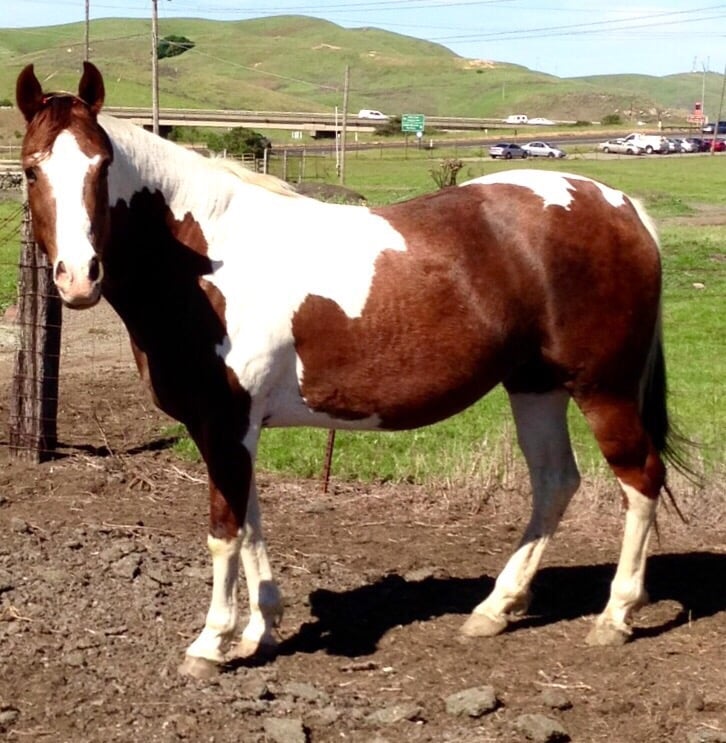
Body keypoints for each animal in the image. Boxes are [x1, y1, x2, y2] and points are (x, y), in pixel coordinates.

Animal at [16, 62, 687, 679]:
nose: (79, 277)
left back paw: (615, 616)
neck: (207, 262)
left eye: (102, 166)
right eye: (30, 168)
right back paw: (495, 608)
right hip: (535, 385)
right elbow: (252, 522)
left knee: (640, 479)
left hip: (603, 389)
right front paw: (261, 630)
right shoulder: (235, 430)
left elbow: (224, 530)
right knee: (554, 482)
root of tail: (621, 207)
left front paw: (211, 642)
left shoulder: (225, 424)